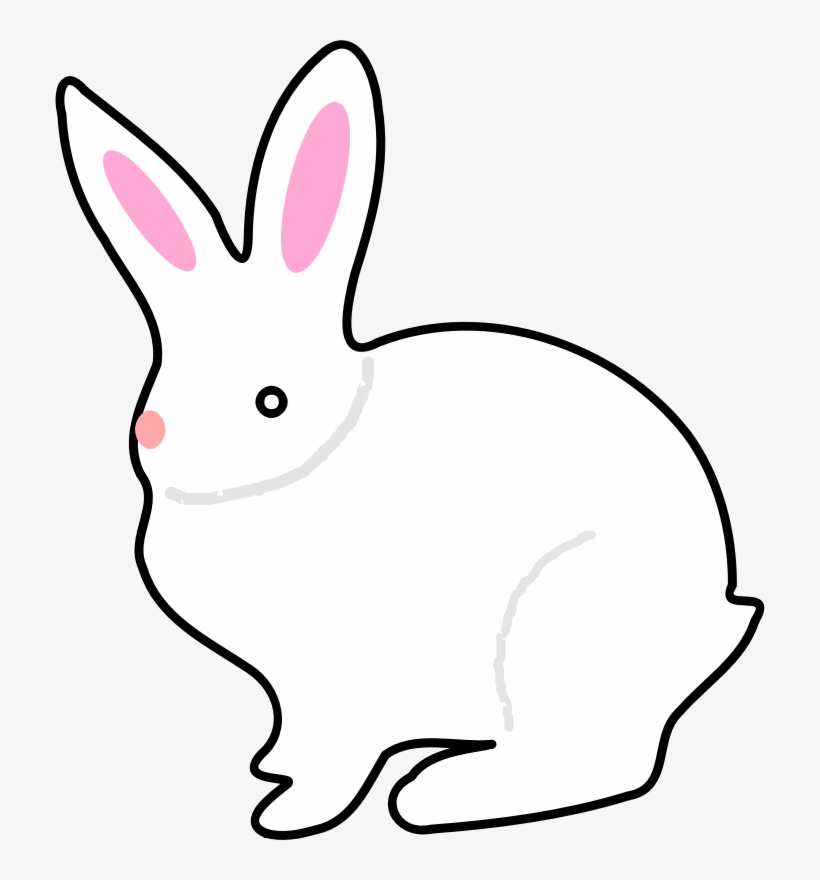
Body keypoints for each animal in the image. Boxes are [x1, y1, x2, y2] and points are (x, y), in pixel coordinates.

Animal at [57, 41, 763, 838]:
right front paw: (273, 764)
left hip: (559, 629)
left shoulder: (340, 674)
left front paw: (291, 811)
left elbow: (337, 752)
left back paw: (442, 795)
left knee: (603, 759)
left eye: (271, 402)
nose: (153, 433)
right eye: (158, 382)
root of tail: (711, 617)